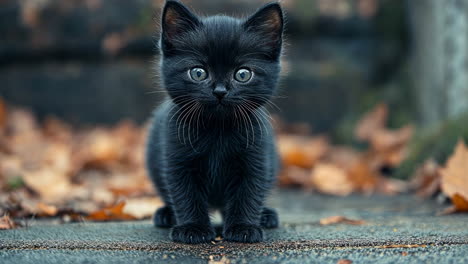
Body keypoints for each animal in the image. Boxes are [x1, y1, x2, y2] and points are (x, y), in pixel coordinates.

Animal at [146, 0, 284, 244]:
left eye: (242, 74)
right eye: (198, 73)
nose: (220, 91)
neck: (218, 129)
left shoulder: (257, 157)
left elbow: (249, 192)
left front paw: (243, 227)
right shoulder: (177, 158)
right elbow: (185, 194)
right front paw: (192, 228)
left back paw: (266, 216)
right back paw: (166, 215)